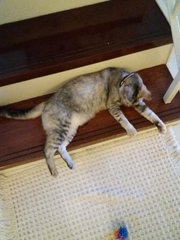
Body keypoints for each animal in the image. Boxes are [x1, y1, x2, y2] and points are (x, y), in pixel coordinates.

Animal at [0, 67, 166, 176]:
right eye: (125, 97)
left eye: (129, 101)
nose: (127, 104)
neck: (121, 78)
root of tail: (47, 102)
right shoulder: (112, 105)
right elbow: (123, 119)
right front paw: (131, 129)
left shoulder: (140, 104)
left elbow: (151, 114)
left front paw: (161, 126)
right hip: (61, 128)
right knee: (47, 150)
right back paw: (54, 171)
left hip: (70, 130)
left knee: (60, 148)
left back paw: (70, 164)